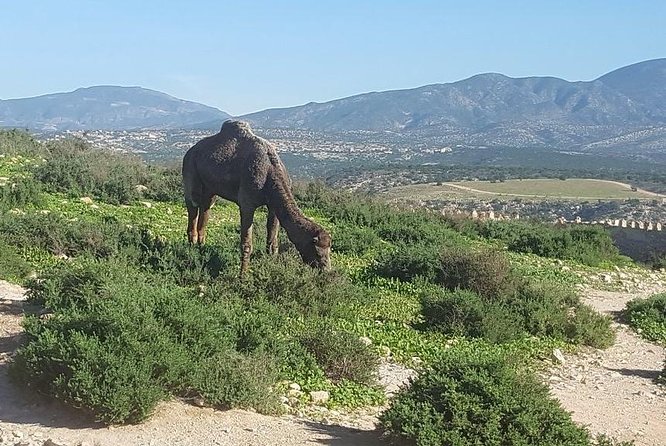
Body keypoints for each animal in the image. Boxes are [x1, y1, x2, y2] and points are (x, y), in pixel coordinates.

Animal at [180, 121, 330, 276]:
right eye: (317, 252)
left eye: (329, 250)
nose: (327, 270)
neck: (271, 171)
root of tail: (190, 151)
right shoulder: (247, 204)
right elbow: (247, 243)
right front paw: (243, 275)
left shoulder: (273, 205)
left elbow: (272, 237)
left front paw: (271, 262)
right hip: (190, 168)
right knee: (192, 204)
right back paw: (191, 247)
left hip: (210, 189)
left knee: (206, 206)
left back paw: (201, 247)